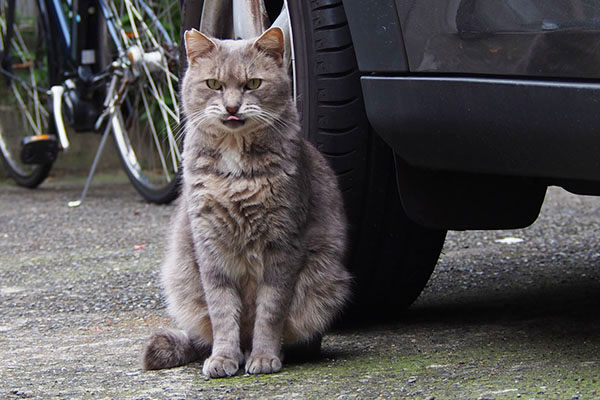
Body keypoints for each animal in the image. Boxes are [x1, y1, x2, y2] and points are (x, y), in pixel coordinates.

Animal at [141, 28, 352, 378]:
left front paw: (264, 357)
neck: (234, 171)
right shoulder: (210, 248)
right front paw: (223, 358)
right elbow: (223, 312)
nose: (231, 106)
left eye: (253, 83)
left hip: (323, 280)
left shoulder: (282, 246)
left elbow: (270, 311)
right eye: (213, 84)